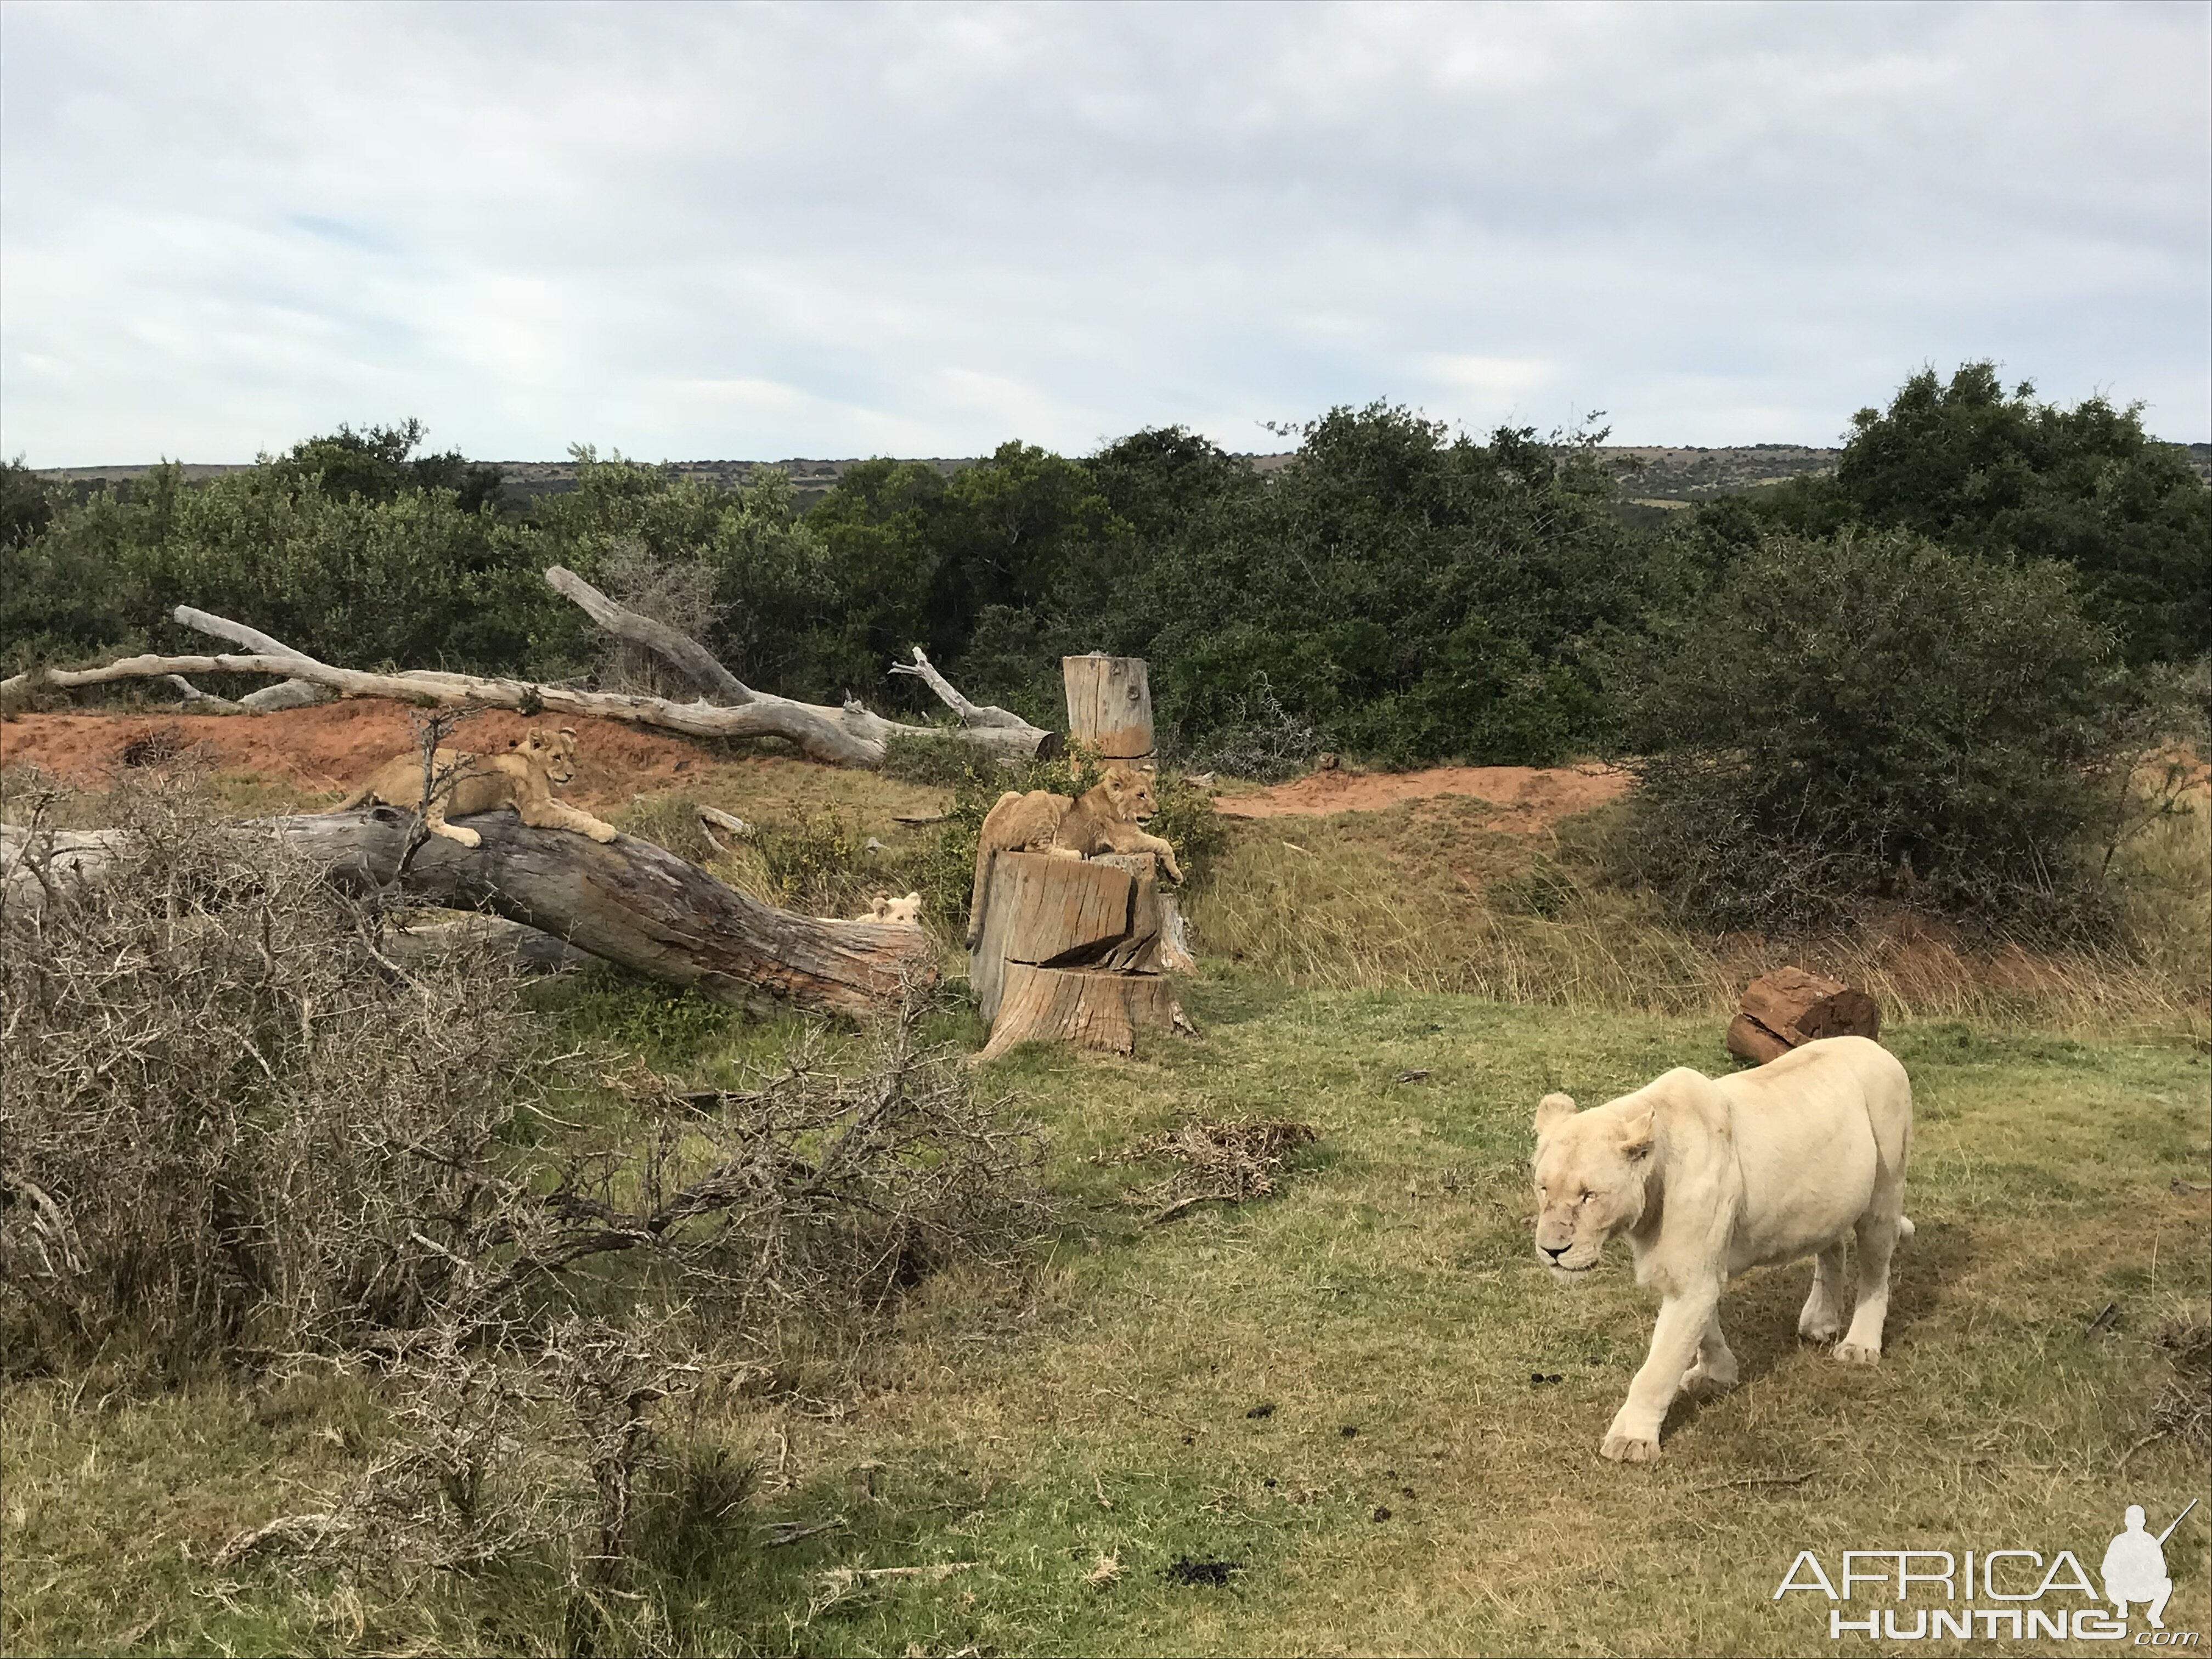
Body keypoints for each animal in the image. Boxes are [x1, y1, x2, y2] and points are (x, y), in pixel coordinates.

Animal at [1531, 1040, 1911, 1469]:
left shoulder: (1692, 1278)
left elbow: (1659, 1366)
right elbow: (1702, 1331)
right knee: (1832, 1246)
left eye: (1589, 1195)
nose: (1552, 1250)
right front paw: (1717, 1374)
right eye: (1543, 1188)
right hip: (1825, 1204)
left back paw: (1860, 1345)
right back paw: (1820, 1321)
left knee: (1876, 1272)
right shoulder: (1690, 1271)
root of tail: (1876, 1047)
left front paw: (1632, 1440)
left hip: (1884, 1191)